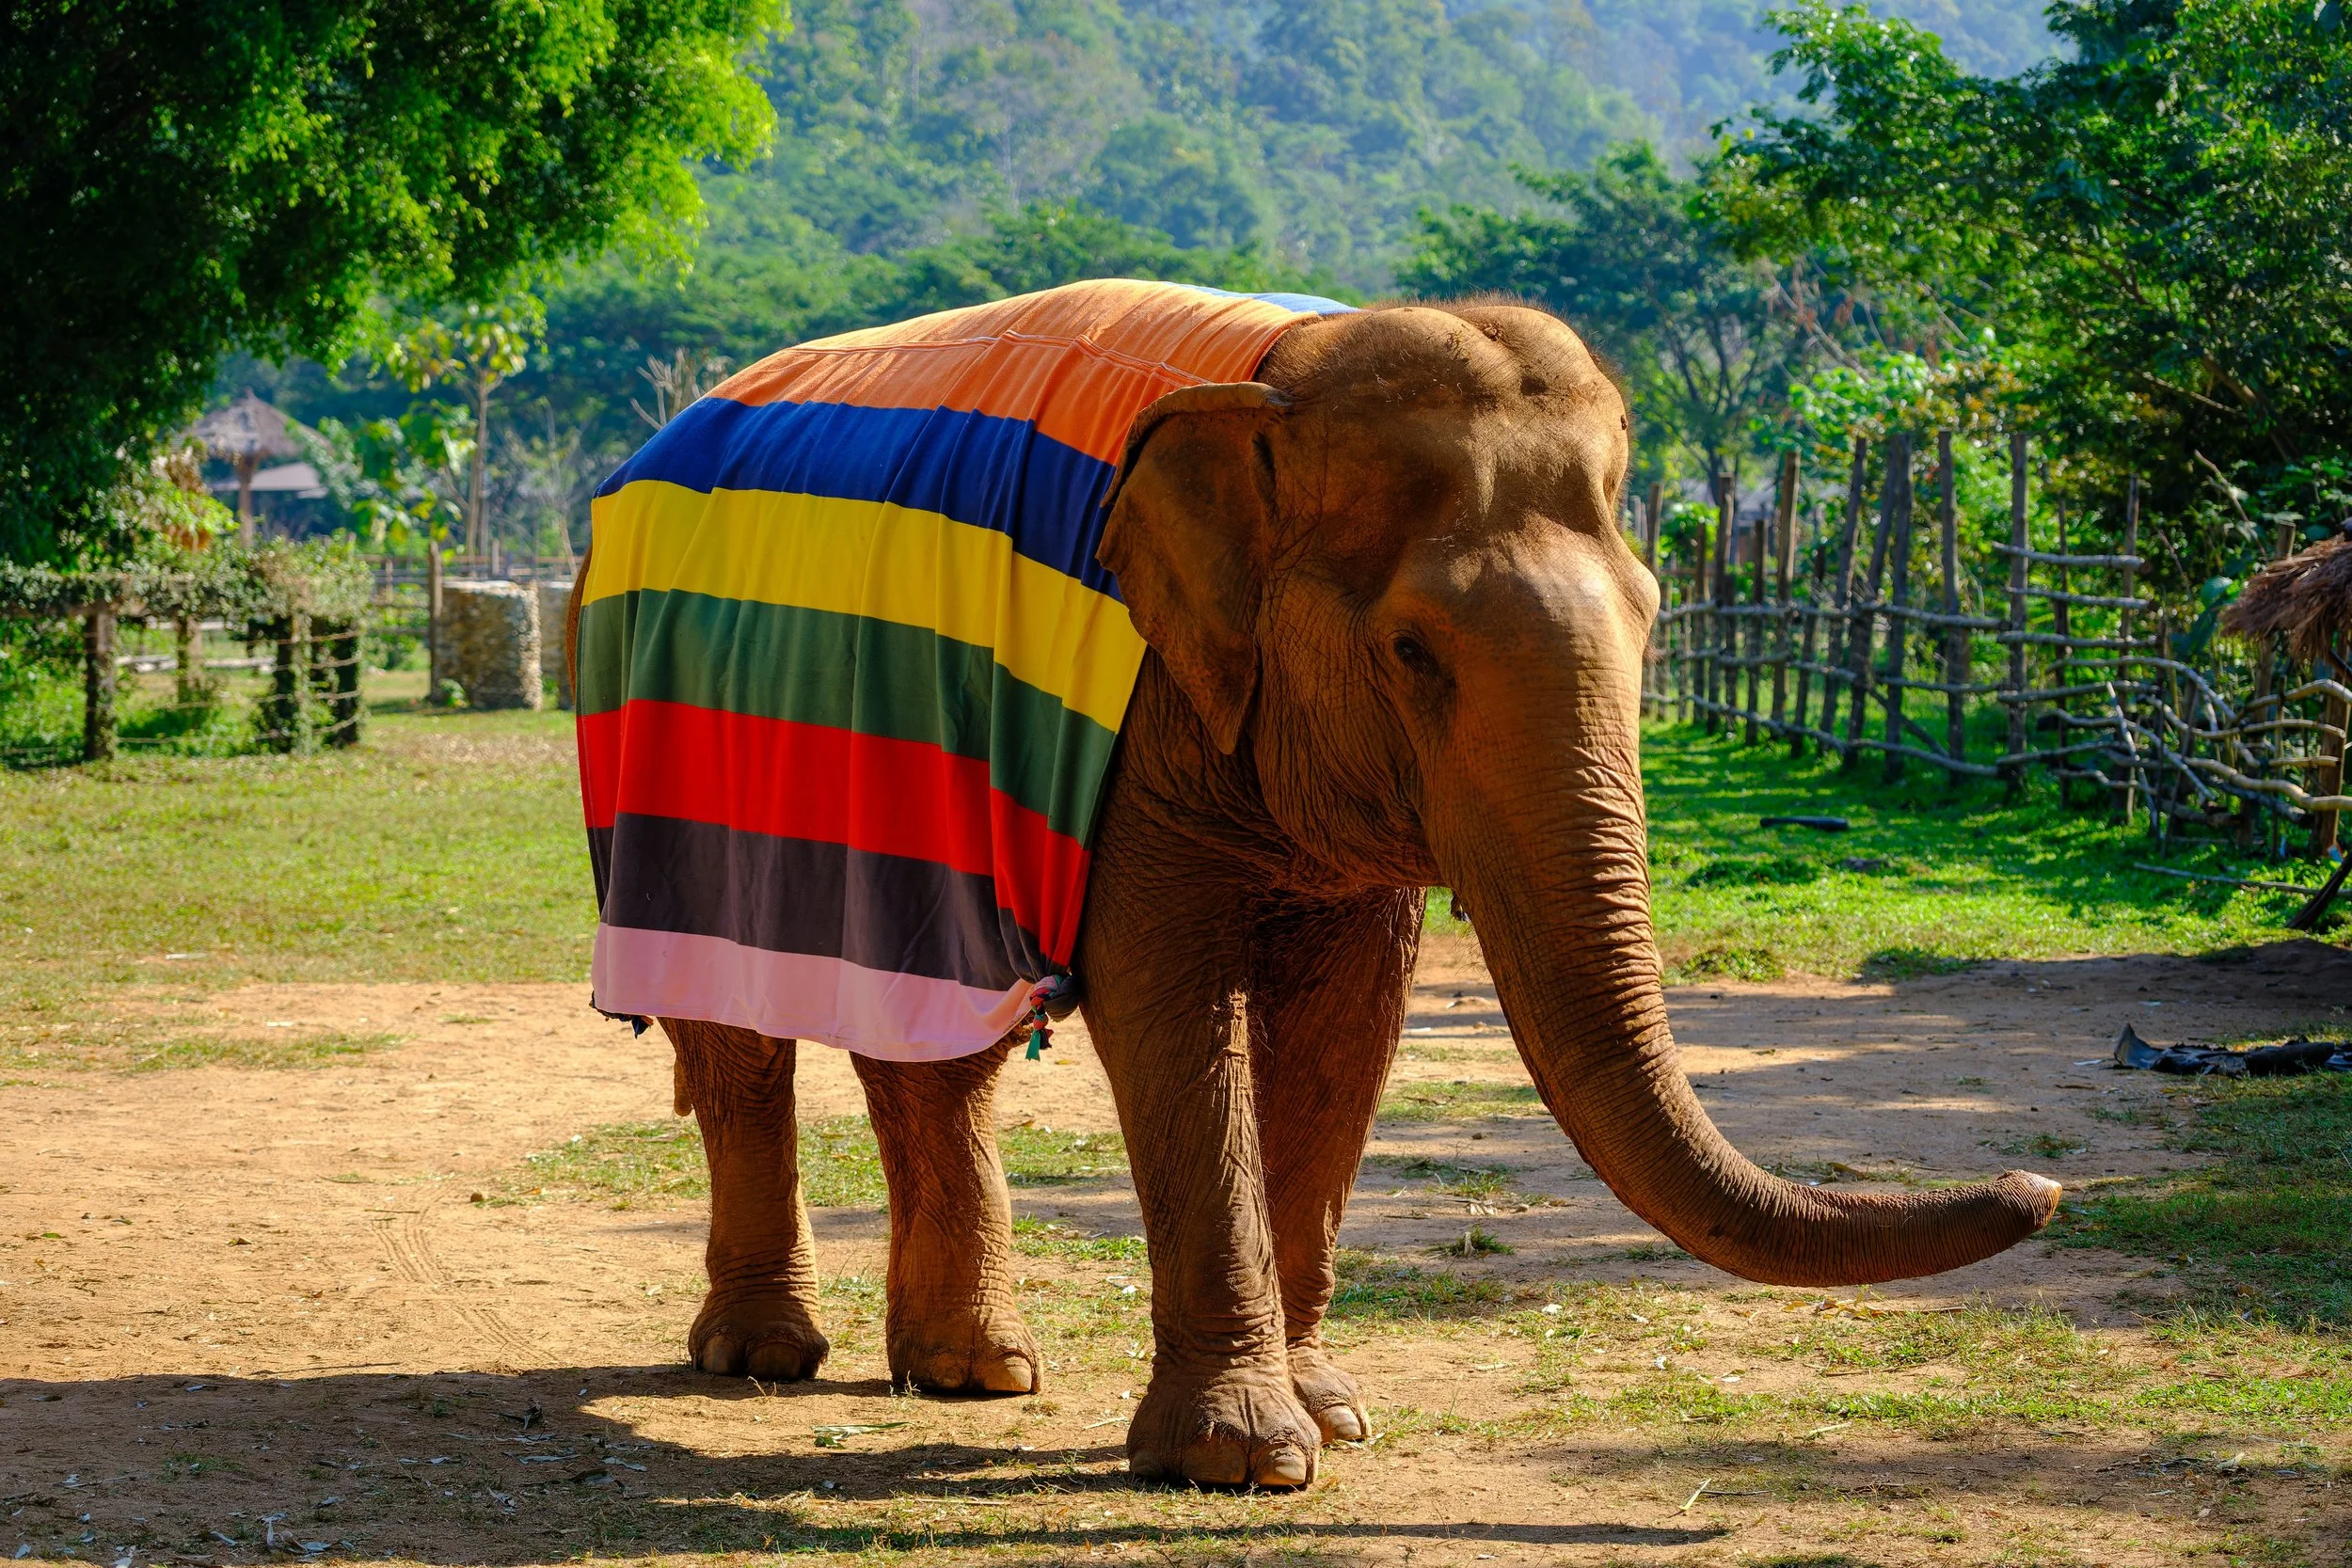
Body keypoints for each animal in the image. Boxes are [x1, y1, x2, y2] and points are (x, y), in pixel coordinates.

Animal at [568, 290, 2061, 1491]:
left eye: (1651, 613)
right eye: (1412, 650)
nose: (2042, 1179)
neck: (1280, 381)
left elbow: (1352, 1027)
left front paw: (1332, 1415)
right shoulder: (1141, 717)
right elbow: (1172, 1006)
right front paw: (1246, 1459)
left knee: (936, 1046)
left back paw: (976, 1370)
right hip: (666, 765)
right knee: (743, 1044)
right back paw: (764, 1356)